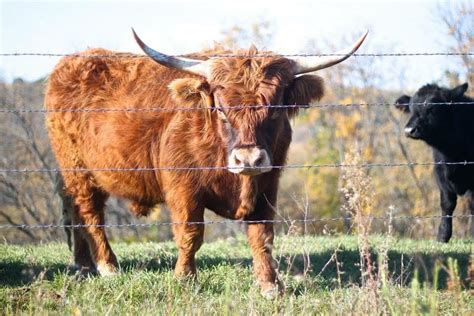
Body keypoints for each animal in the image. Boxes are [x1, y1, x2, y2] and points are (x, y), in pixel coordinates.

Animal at [396, 82, 474, 242]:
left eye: (433, 108)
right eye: (411, 109)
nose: (409, 130)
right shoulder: (441, 175)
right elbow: (447, 204)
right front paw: (442, 236)